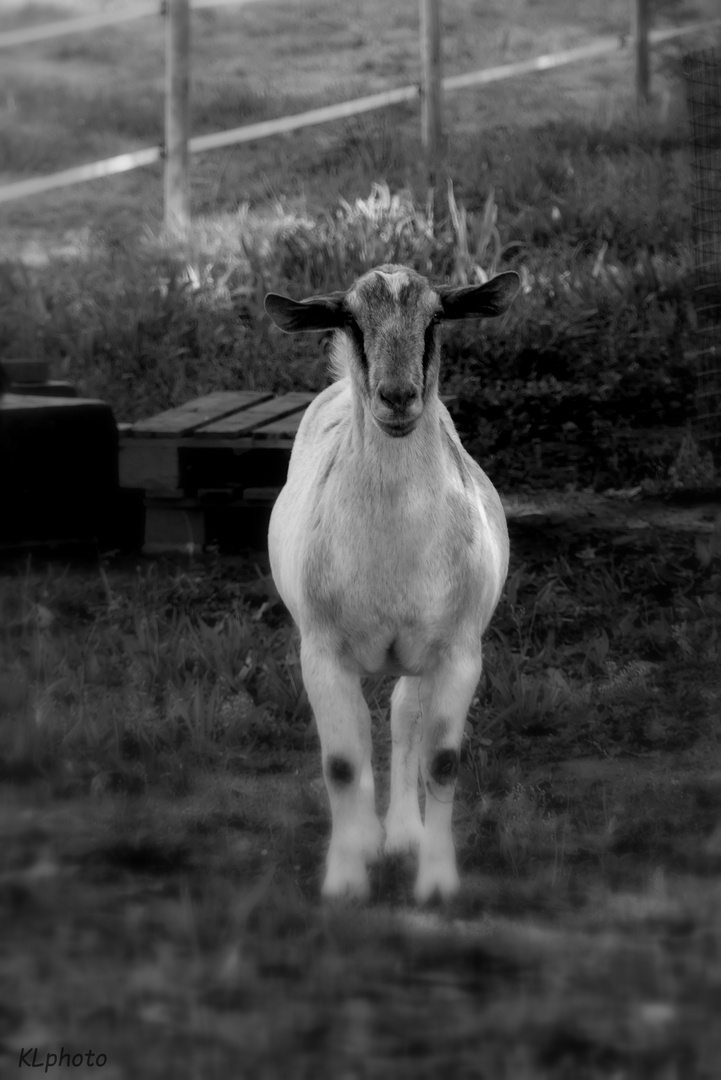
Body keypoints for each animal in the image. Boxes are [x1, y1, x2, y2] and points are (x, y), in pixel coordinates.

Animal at [264, 261, 518, 902]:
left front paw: (437, 883)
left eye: (435, 320)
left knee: (403, 716)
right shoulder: (321, 650)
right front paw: (346, 878)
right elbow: (341, 761)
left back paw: (402, 833)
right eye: (352, 320)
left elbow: (442, 759)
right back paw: (367, 838)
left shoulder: (458, 650)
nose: (398, 397)